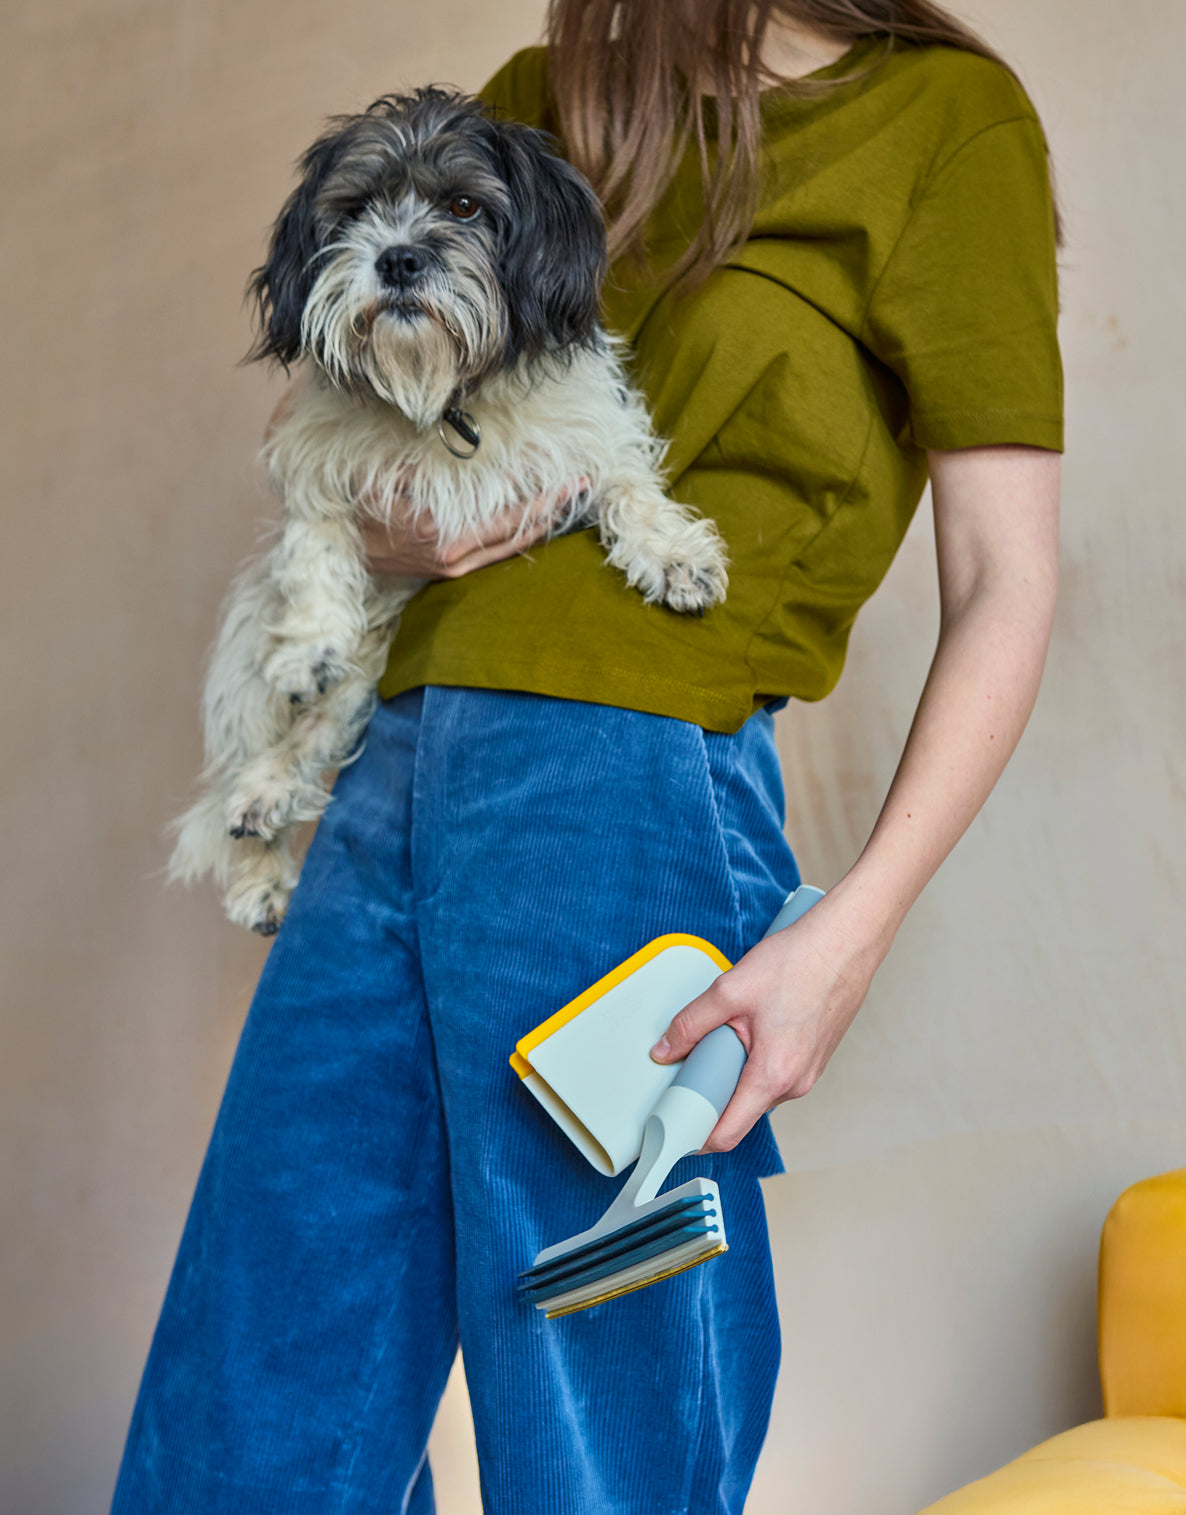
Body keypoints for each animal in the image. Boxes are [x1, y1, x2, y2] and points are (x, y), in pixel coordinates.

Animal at [169, 87, 728, 935]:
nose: (399, 257)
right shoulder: (317, 464)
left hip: (372, 670)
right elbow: (316, 546)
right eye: (356, 210)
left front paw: (673, 555)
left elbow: (629, 484)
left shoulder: (584, 441)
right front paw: (310, 642)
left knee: (318, 732)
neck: (443, 399)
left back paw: (270, 799)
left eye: (464, 205)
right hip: (260, 653)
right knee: (261, 752)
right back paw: (259, 842)